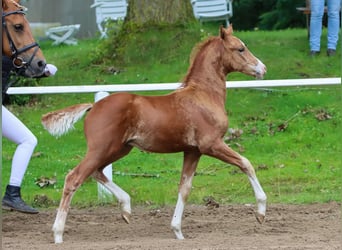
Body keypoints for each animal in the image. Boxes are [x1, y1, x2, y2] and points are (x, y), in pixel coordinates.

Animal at [42, 25, 268, 244]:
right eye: (240, 48)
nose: (262, 68)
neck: (203, 96)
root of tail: (93, 106)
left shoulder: (192, 151)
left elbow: (184, 188)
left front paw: (177, 231)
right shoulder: (211, 144)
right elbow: (246, 164)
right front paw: (261, 213)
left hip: (118, 149)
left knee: (96, 172)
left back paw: (126, 209)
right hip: (102, 149)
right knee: (74, 177)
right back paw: (58, 234)